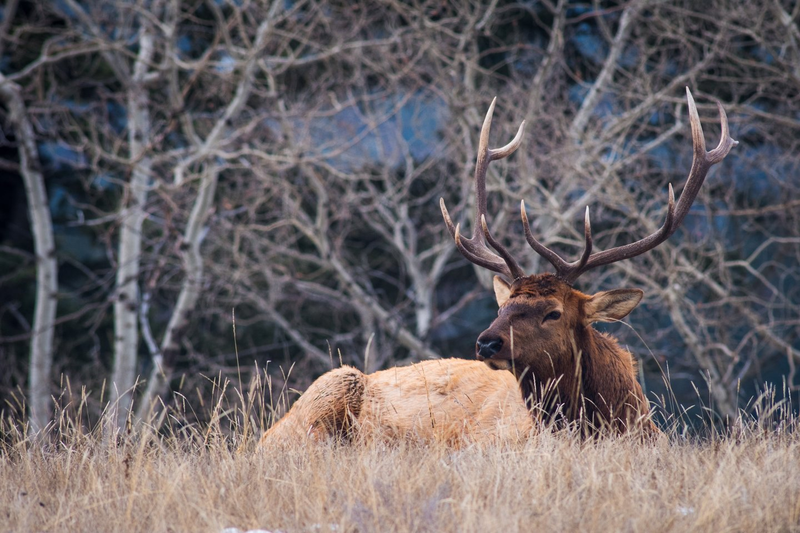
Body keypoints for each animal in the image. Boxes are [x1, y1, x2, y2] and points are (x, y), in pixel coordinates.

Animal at [260, 89, 736, 446]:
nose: (486, 342)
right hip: (329, 388)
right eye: (503, 304)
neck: (615, 421)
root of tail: (265, 437)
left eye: (553, 312)